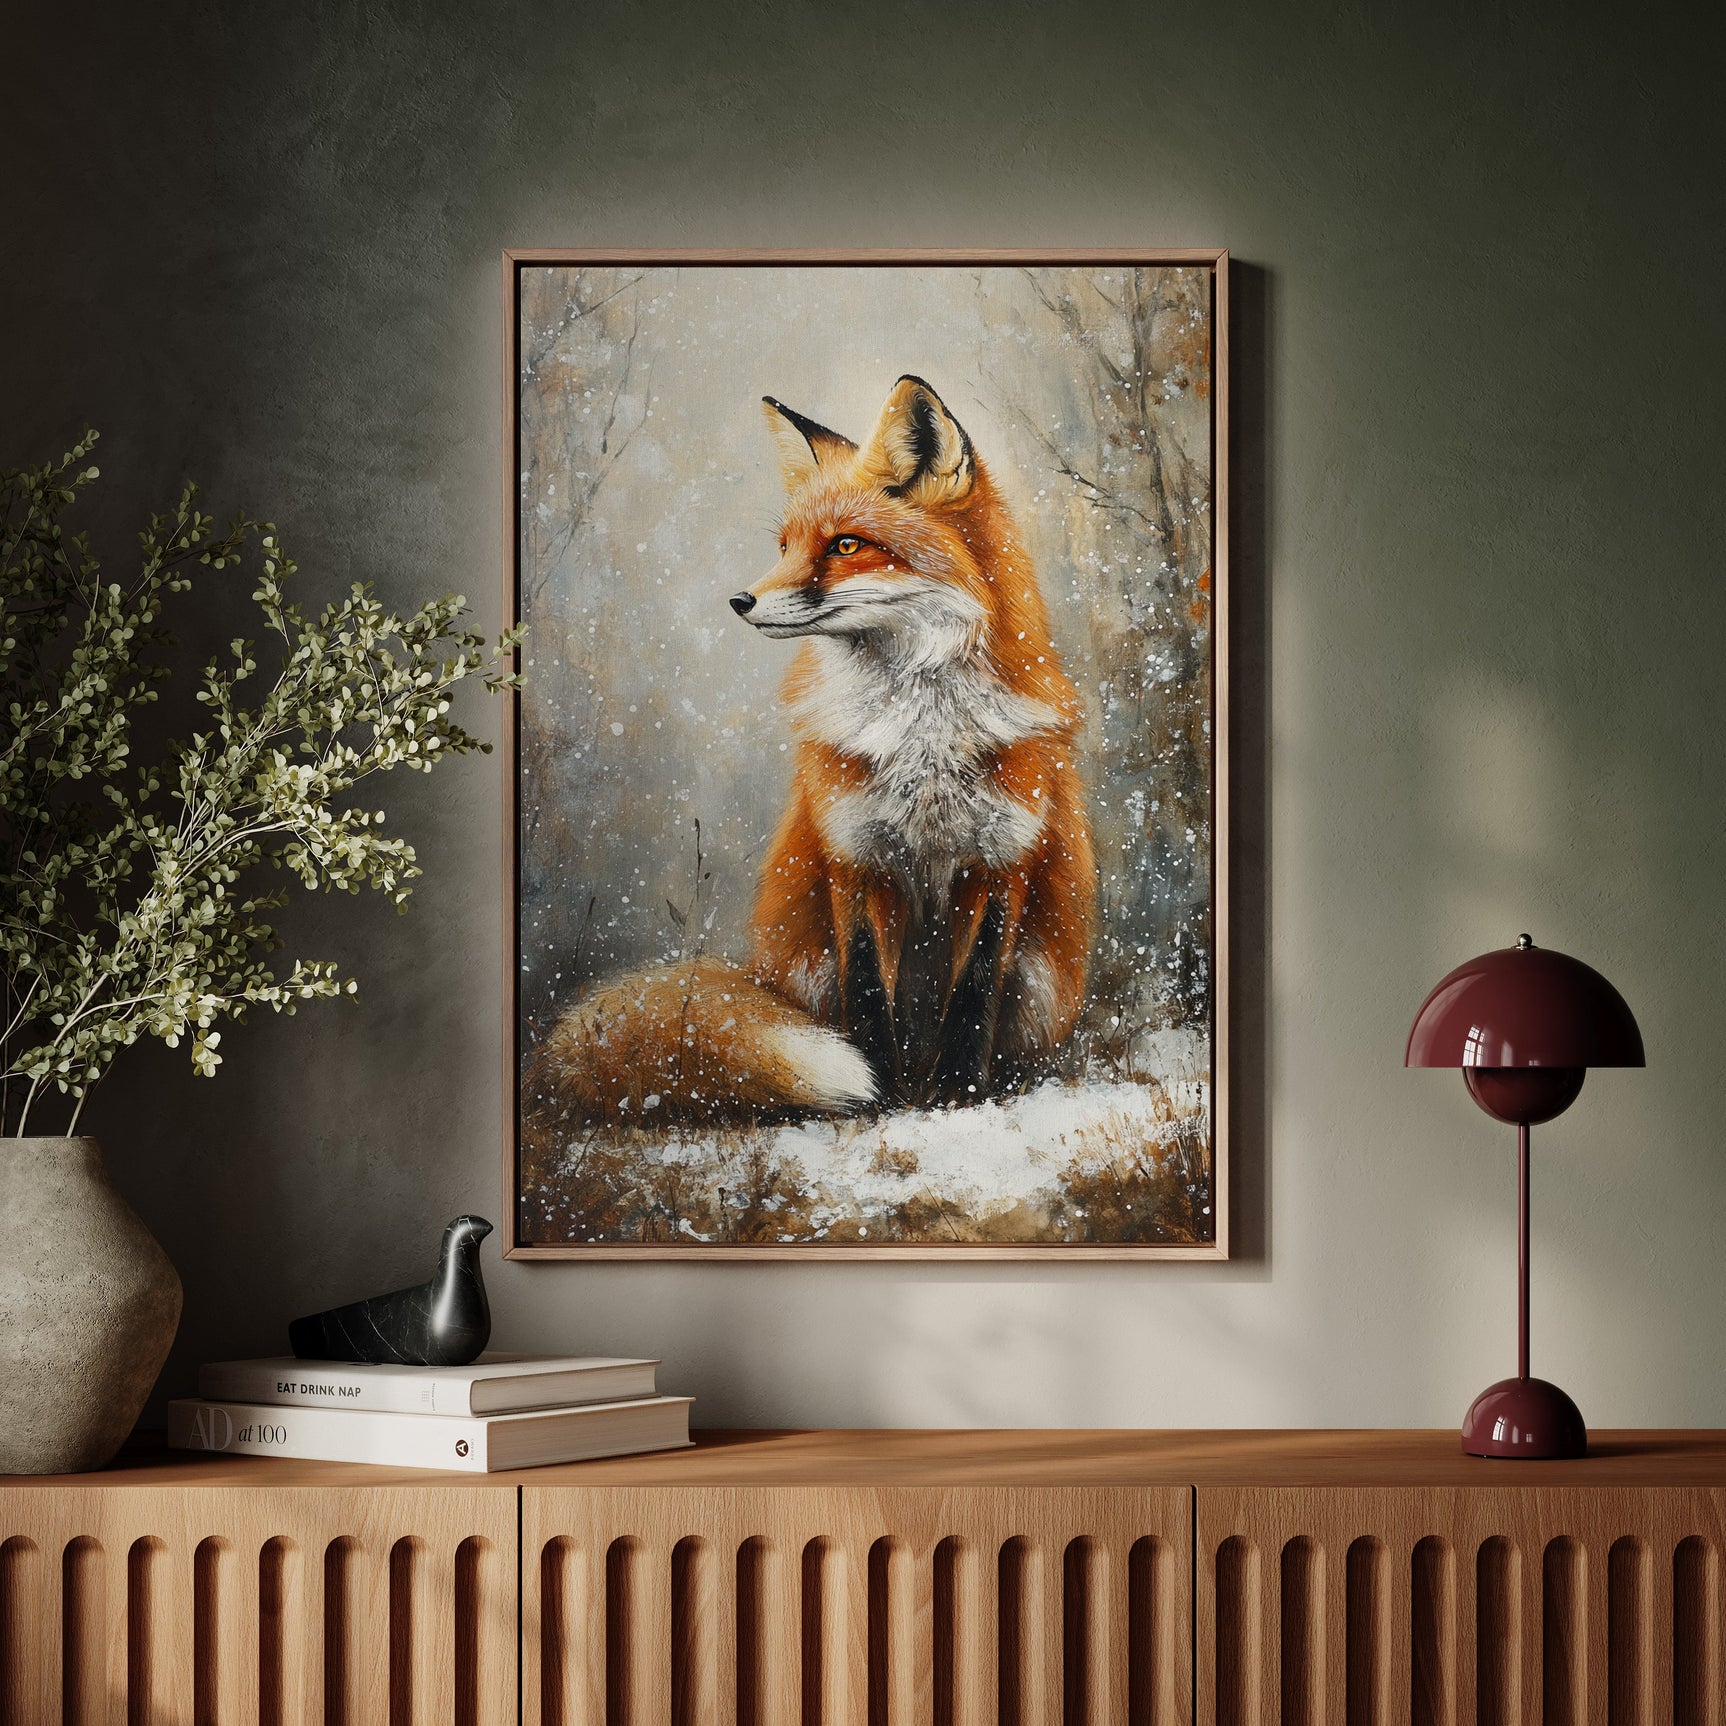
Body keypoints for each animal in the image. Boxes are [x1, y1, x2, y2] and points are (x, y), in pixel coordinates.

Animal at [536, 375, 1095, 1127]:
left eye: (846, 545)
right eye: (785, 545)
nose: (740, 600)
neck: (923, 735)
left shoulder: (1004, 859)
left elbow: (974, 994)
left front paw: (958, 1097)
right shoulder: (854, 856)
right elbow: (866, 992)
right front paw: (882, 1095)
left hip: (1044, 979)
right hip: (804, 963)